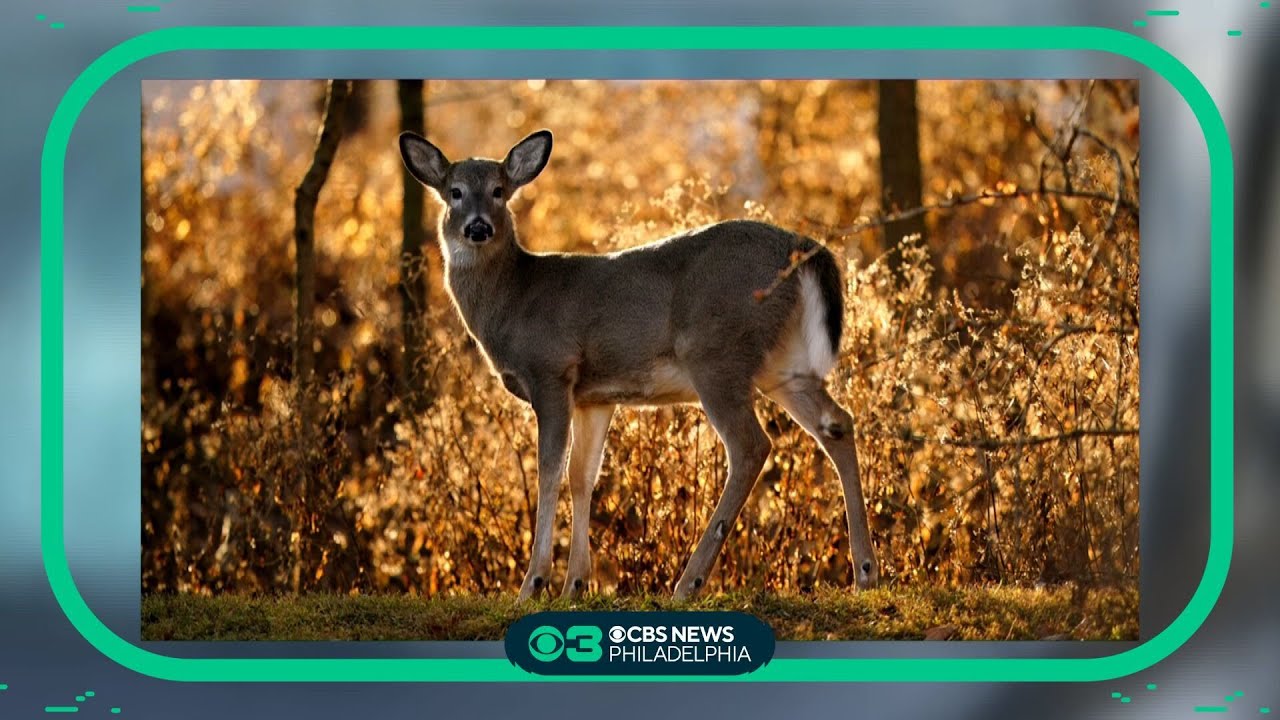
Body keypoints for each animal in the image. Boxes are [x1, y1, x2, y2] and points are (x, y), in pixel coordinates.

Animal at [397, 129, 879, 602]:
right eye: (455, 192)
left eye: (499, 191)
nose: (478, 227)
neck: (513, 301)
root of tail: (806, 248)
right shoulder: (593, 397)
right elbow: (582, 476)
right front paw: (575, 585)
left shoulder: (551, 370)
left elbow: (548, 473)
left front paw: (533, 584)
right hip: (783, 362)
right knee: (837, 423)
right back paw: (866, 571)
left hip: (715, 351)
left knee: (751, 445)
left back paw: (689, 583)